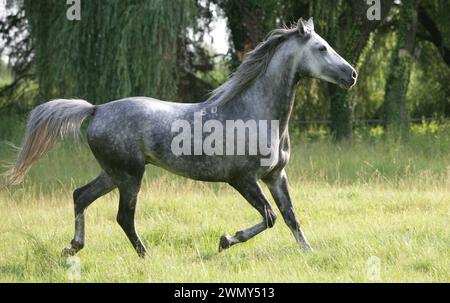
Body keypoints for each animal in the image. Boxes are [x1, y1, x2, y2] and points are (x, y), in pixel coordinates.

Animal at [6, 17, 356, 258]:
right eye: (321, 48)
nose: (351, 74)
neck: (256, 112)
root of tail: (97, 109)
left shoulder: (275, 176)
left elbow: (290, 217)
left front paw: (309, 253)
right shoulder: (242, 179)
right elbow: (269, 217)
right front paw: (225, 240)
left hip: (113, 173)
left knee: (80, 196)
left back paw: (73, 247)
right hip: (130, 175)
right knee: (123, 217)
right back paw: (146, 256)